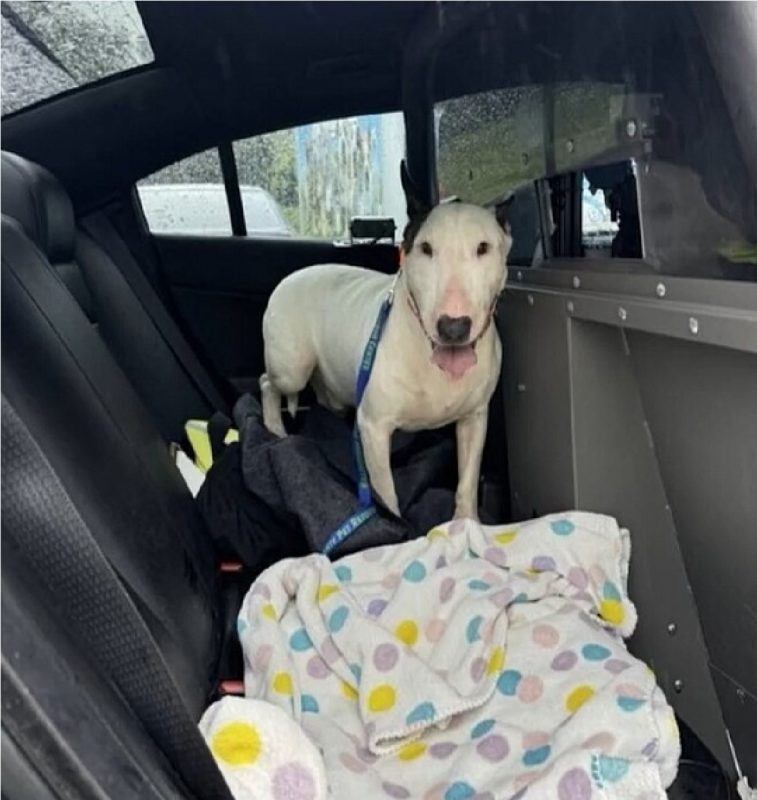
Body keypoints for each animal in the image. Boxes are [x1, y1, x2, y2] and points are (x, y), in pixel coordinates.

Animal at [260, 169, 512, 520]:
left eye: (483, 248)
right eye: (425, 248)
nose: (453, 328)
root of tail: (290, 276)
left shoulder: (474, 419)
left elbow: (468, 480)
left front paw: (467, 524)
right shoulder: (374, 429)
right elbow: (386, 493)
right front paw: (396, 525)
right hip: (291, 367)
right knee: (268, 383)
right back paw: (274, 429)